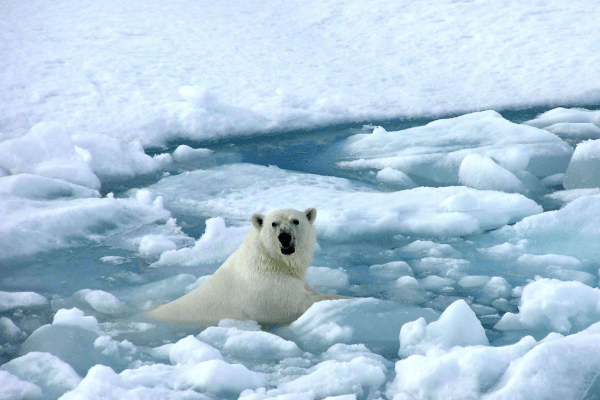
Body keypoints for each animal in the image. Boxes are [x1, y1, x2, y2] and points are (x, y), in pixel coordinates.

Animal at [143, 208, 344, 326]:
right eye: (274, 223)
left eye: (296, 221)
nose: (284, 237)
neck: (272, 262)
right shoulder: (268, 290)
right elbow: (300, 303)